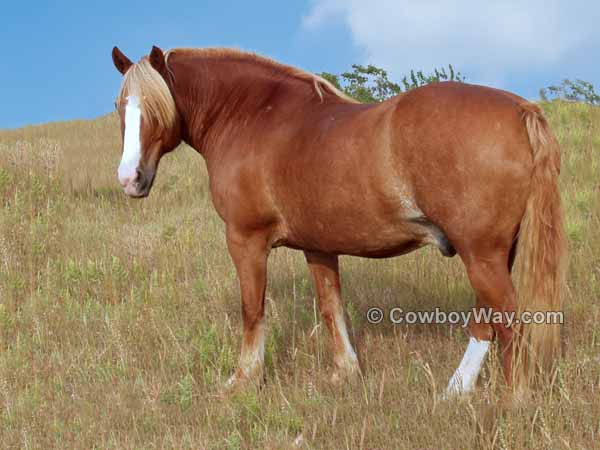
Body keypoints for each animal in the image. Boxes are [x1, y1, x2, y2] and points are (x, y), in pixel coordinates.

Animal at [110, 45, 564, 396]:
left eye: (155, 107)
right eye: (119, 108)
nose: (130, 179)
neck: (254, 117)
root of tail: (520, 108)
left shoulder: (245, 240)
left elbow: (252, 309)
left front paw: (243, 380)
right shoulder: (319, 247)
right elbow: (332, 307)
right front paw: (345, 373)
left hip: (481, 254)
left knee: (508, 319)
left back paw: (512, 401)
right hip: (494, 253)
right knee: (486, 318)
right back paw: (457, 389)